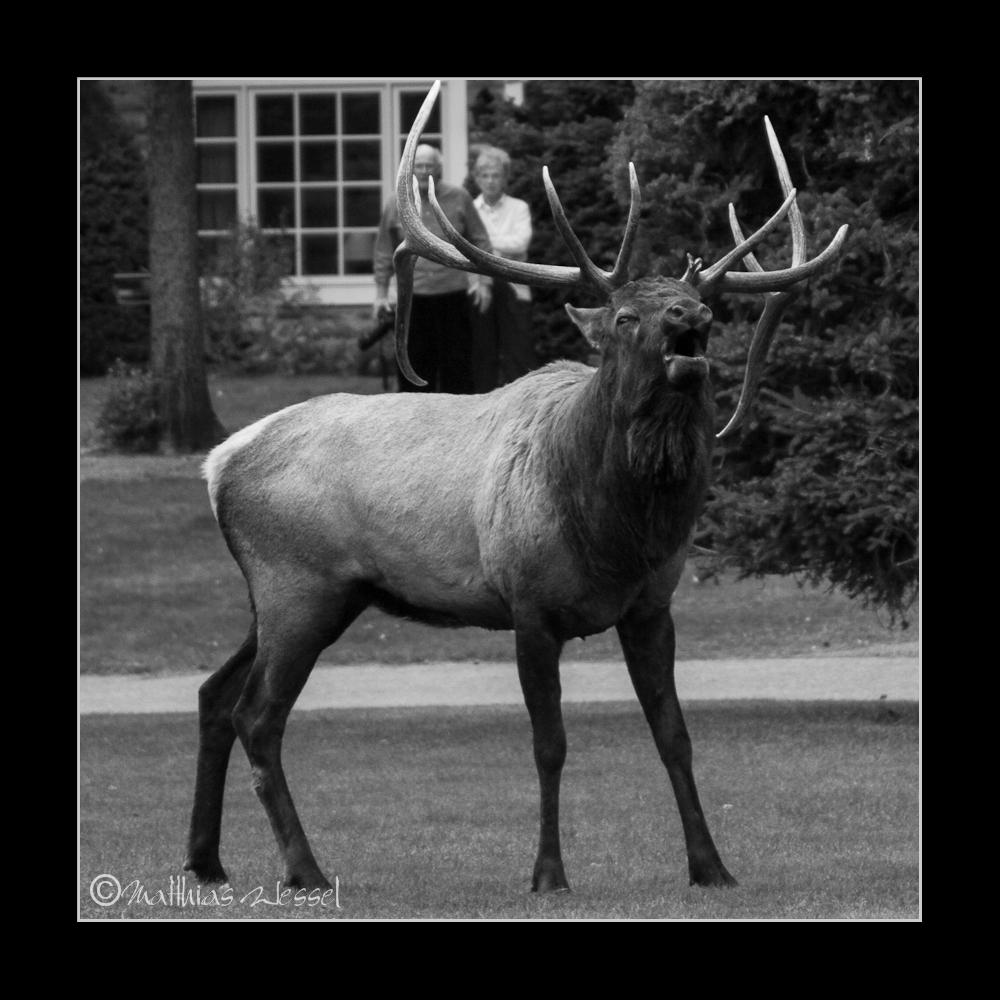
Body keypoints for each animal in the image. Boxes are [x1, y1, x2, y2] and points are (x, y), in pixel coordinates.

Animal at [186, 80, 844, 892]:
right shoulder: (528, 604)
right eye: (625, 316)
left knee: (213, 695)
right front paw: (549, 873)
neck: (616, 534)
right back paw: (305, 869)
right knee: (257, 715)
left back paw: (206, 859)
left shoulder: (652, 605)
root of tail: (218, 463)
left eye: (709, 313)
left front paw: (711, 866)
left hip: (299, 594)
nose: (689, 314)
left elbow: (675, 736)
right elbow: (549, 745)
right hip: (297, 584)